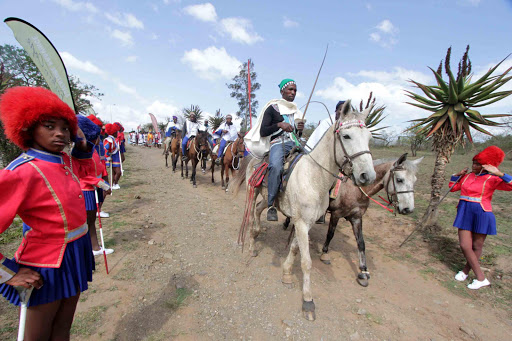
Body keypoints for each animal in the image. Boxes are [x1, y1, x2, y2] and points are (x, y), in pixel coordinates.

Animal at [231, 100, 376, 318]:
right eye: (346, 136)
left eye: (369, 137)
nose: (368, 176)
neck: (314, 177)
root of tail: (256, 157)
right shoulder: (300, 223)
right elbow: (306, 262)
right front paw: (308, 300)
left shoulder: (305, 223)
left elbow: (295, 249)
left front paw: (286, 273)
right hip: (252, 190)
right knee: (249, 215)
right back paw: (250, 245)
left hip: (269, 199)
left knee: (258, 210)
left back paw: (256, 235)